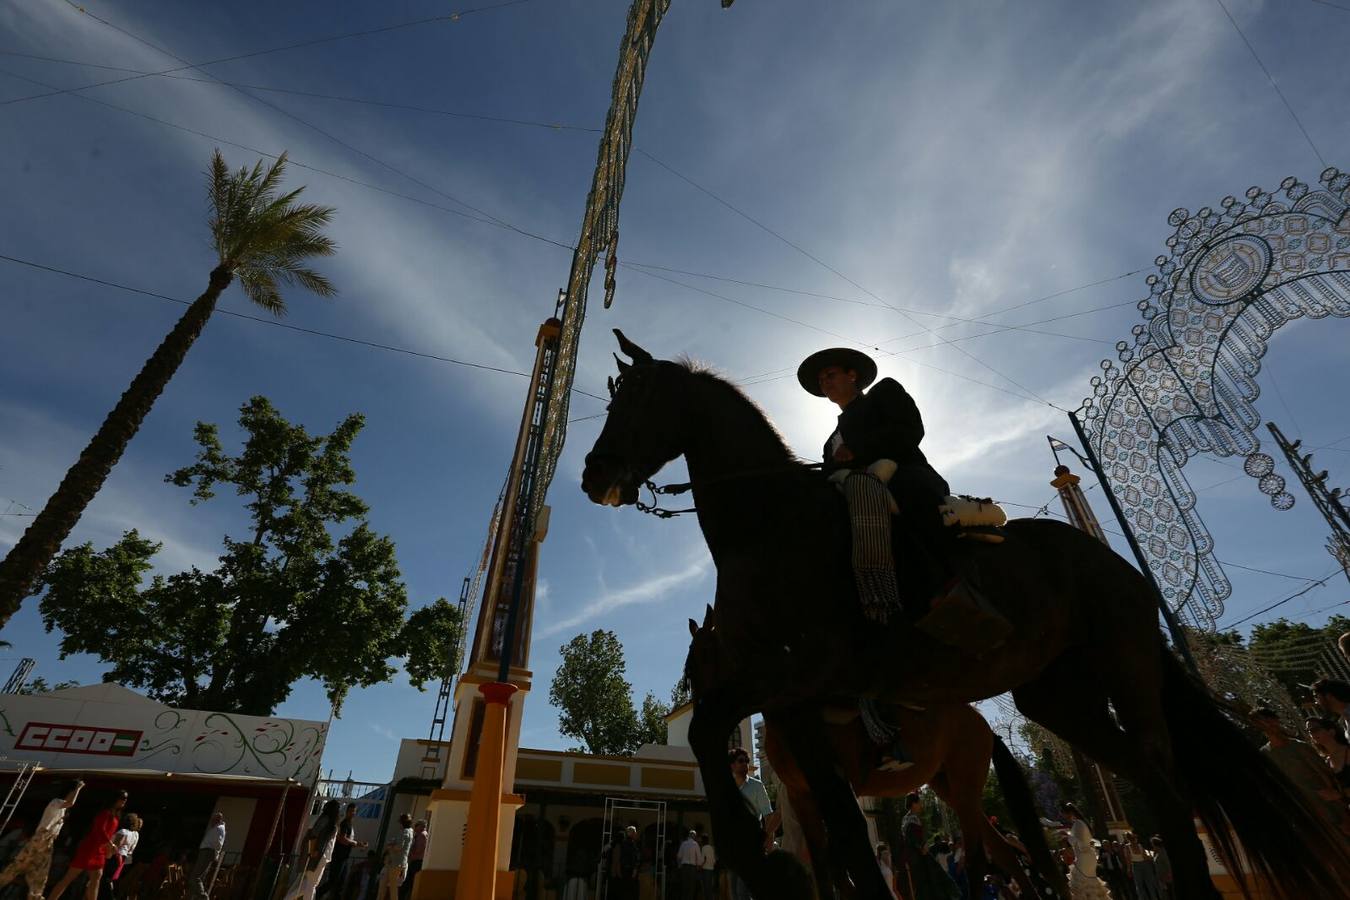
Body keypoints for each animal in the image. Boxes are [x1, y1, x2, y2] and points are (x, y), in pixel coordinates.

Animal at [583, 330, 1350, 900]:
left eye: (635, 398)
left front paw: (759, 857)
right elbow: (830, 822)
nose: (594, 477)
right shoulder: (790, 702)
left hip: (1125, 668)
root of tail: (1115, 564)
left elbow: (718, 737)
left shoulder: (797, 677)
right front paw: (768, 859)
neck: (774, 528)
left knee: (1161, 778)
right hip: (1057, 696)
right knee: (1144, 780)